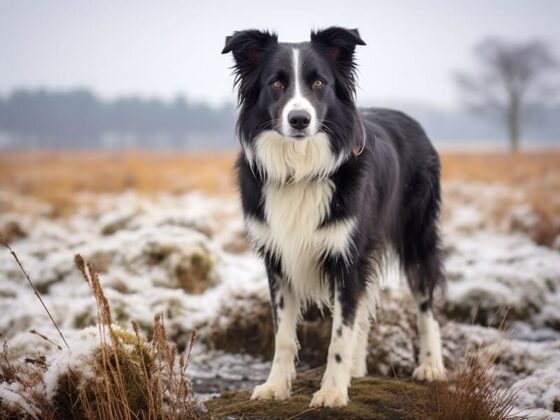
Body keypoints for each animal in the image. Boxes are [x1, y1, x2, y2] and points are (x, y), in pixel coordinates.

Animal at [221, 25, 444, 406]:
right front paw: (275, 386)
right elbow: (283, 335)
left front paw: (332, 391)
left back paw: (431, 366)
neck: (299, 167)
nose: (299, 120)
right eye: (276, 83)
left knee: (424, 303)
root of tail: (412, 120)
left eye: (318, 83)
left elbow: (340, 333)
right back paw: (357, 369)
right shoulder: (277, 258)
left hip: (417, 234)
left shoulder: (347, 257)